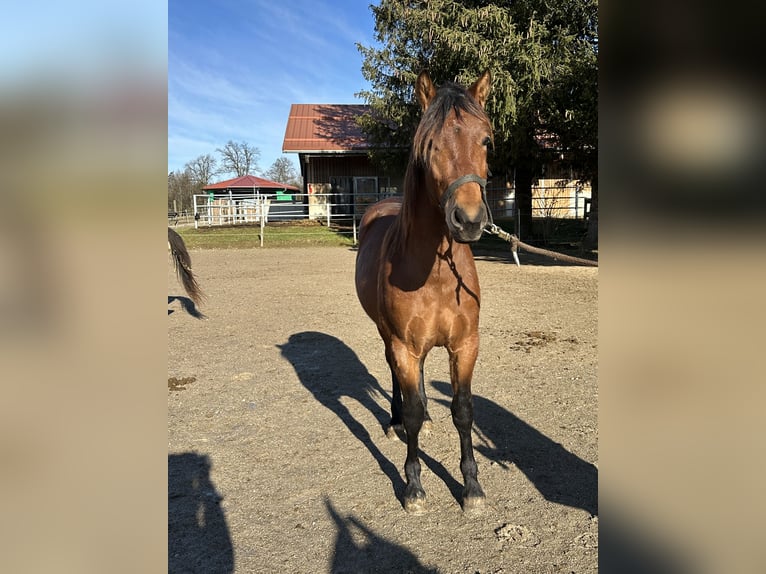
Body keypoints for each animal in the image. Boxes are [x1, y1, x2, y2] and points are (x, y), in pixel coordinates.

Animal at [356, 70, 496, 516]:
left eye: (485, 141)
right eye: (430, 144)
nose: (468, 220)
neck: (434, 273)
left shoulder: (465, 345)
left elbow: (463, 411)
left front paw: (471, 487)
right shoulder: (403, 344)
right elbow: (415, 409)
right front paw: (413, 486)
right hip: (389, 338)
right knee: (398, 380)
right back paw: (394, 421)